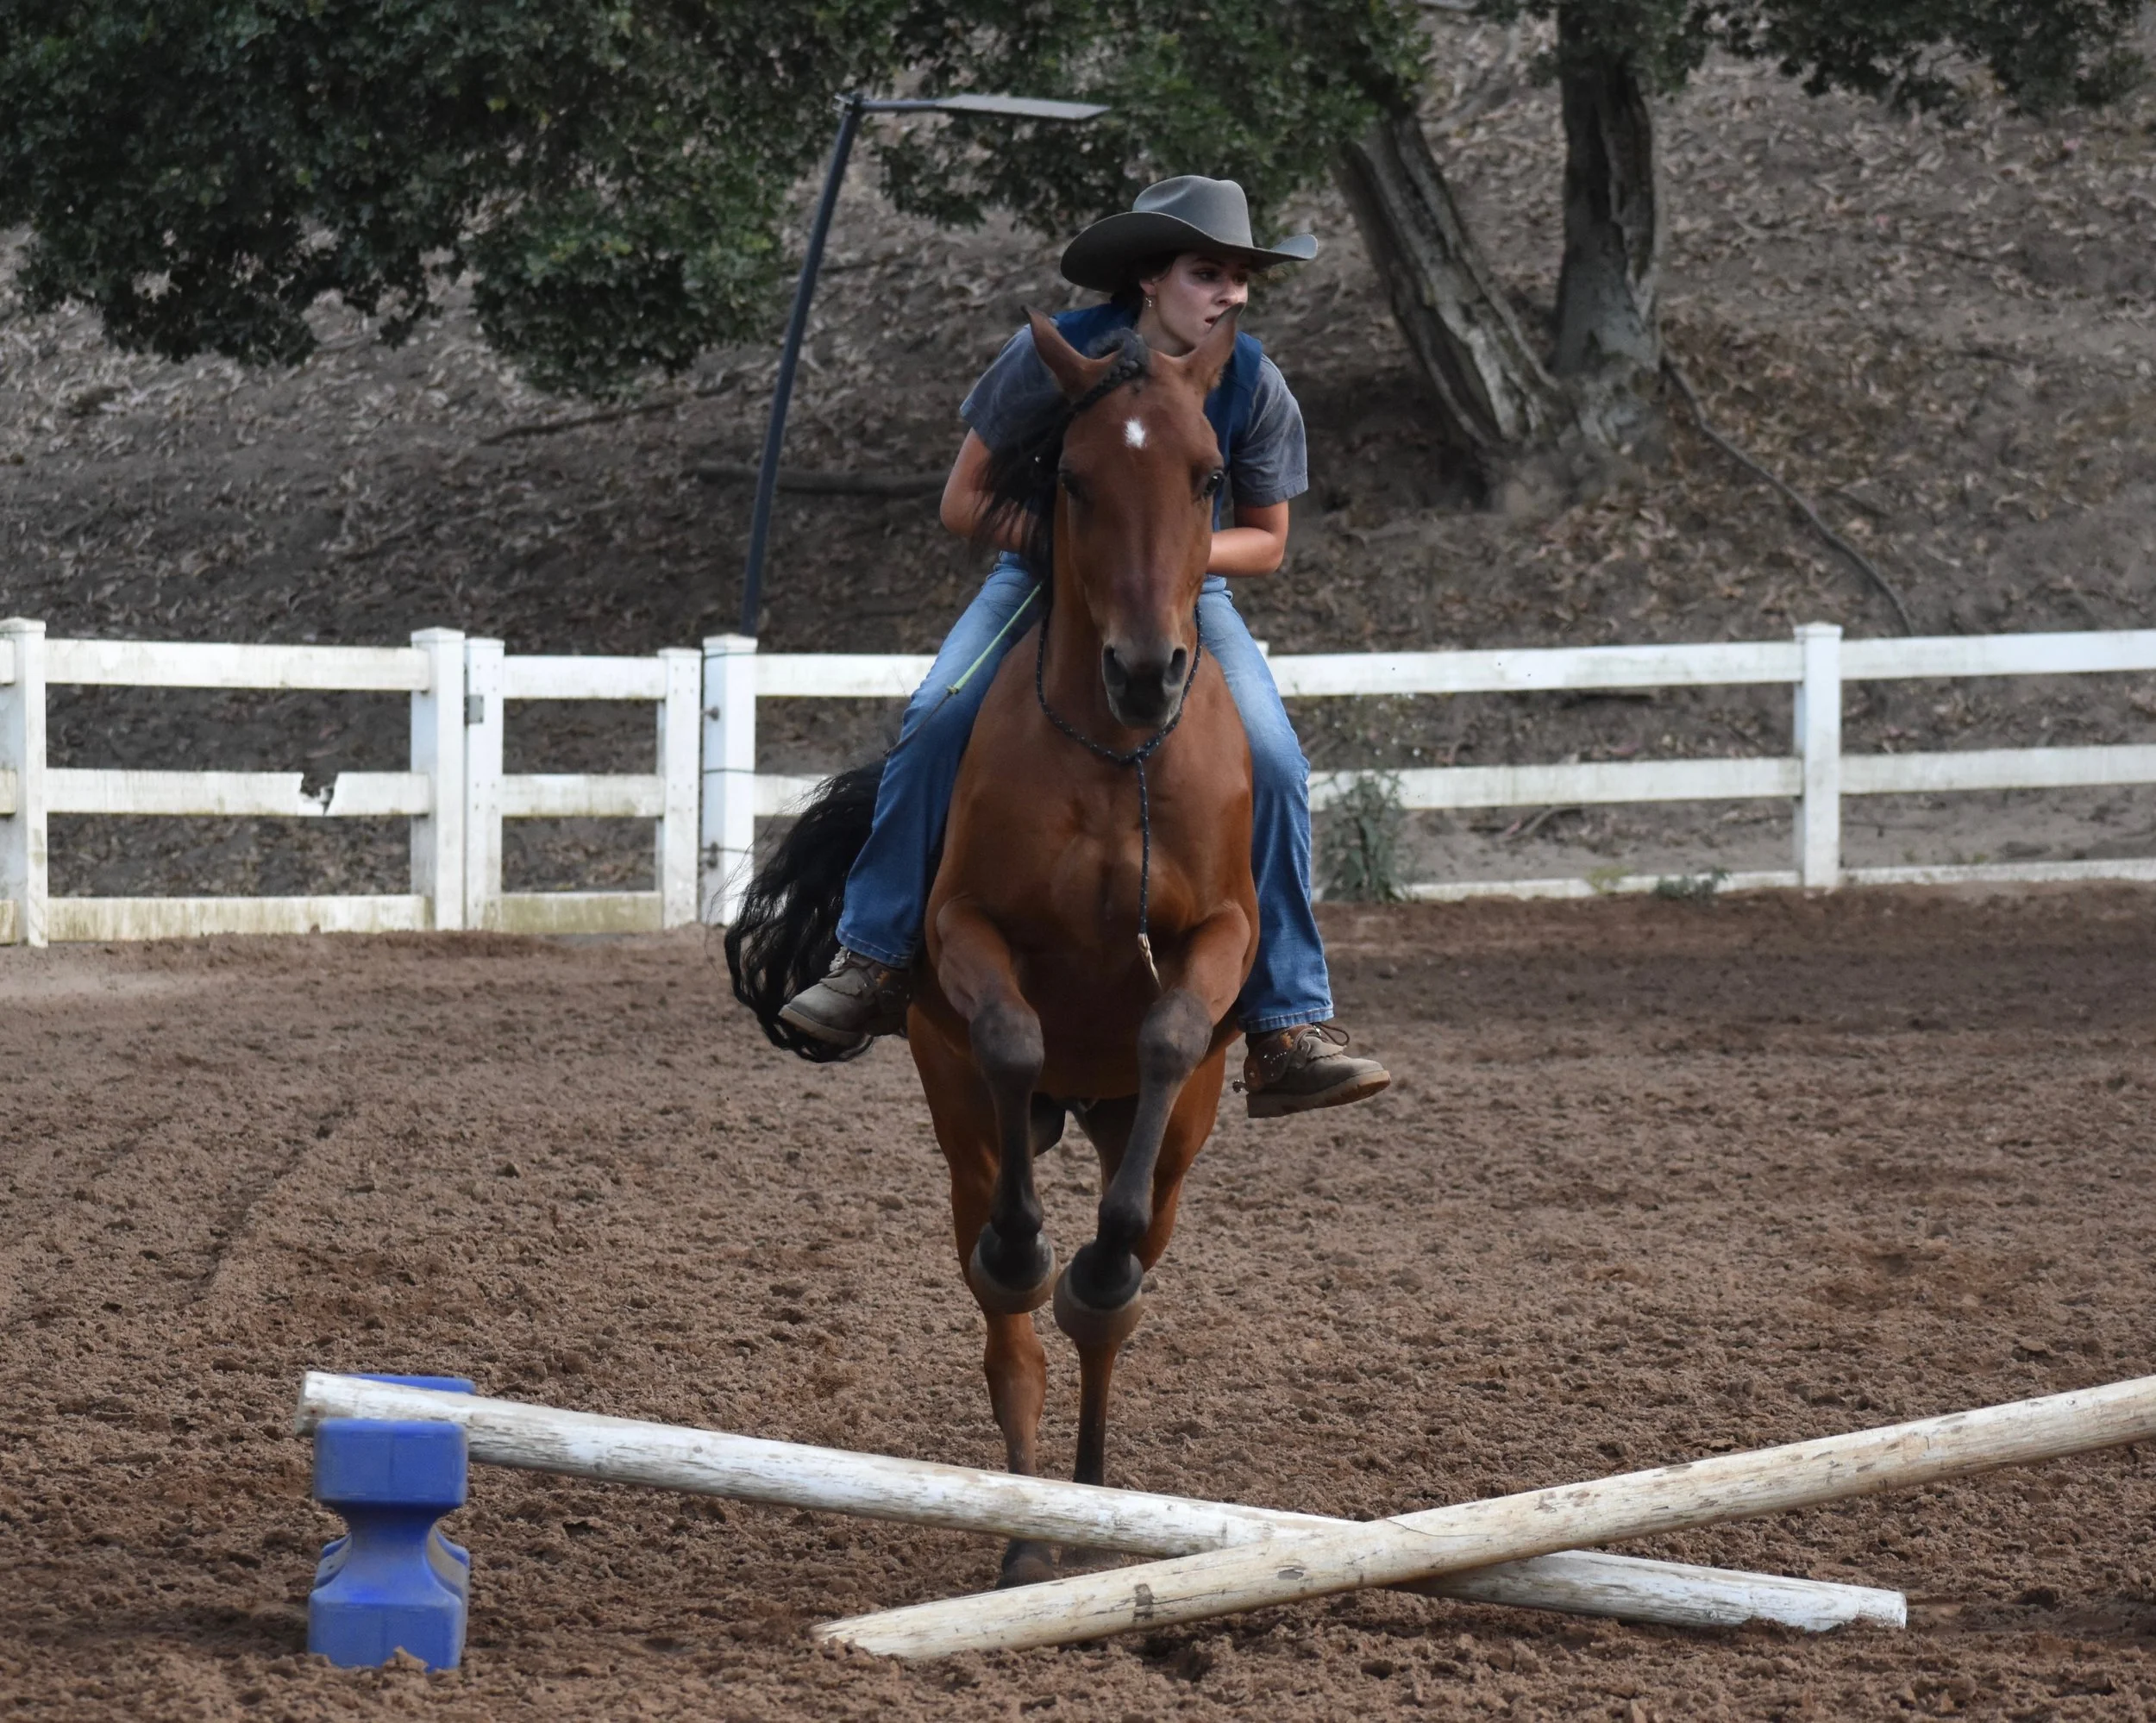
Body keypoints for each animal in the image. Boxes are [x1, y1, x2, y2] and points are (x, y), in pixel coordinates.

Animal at [729, 307, 1258, 1586]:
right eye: (1072, 478)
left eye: (1207, 474)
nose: (1146, 670)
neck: (1118, 756)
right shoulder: (963, 936)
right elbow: (1014, 1036)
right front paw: (1026, 1251)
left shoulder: (1226, 936)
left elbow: (1171, 1026)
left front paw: (1094, 1264)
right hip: (958, 1113)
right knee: (1011, 1334)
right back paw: (1025, 1538)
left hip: (1167, 1143)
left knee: (1113, 1304)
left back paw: (1097, 1499)